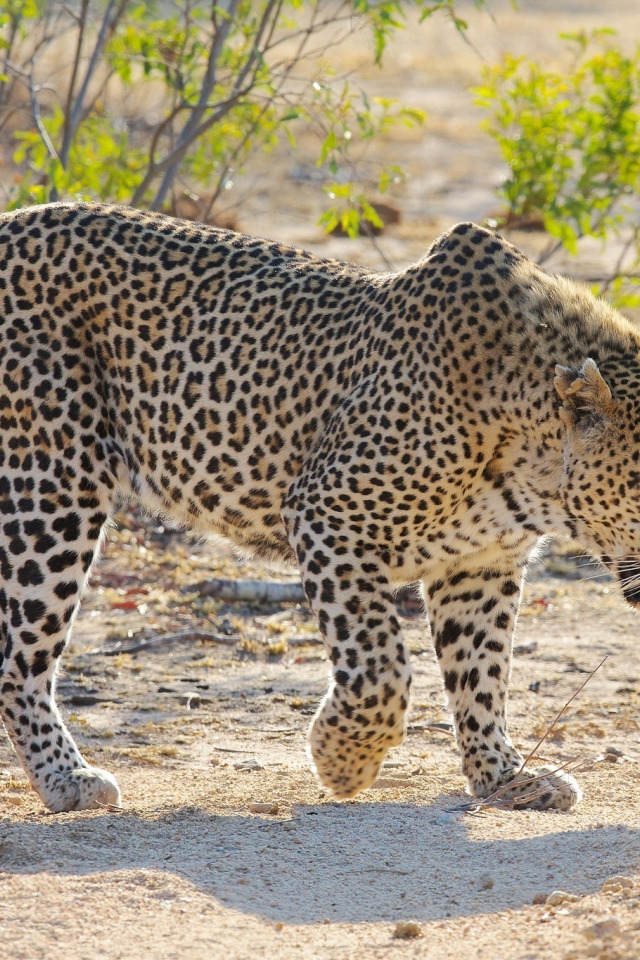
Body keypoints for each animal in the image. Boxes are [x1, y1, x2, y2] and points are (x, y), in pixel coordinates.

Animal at [1, 204, 640, 816]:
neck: (534, 464)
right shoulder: (329, 513)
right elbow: (381, 664)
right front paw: (342, 759)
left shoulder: (480, 564)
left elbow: (480, 674)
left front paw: (505, 778)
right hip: (50, 489)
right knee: (19, 660)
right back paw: (67, 777)